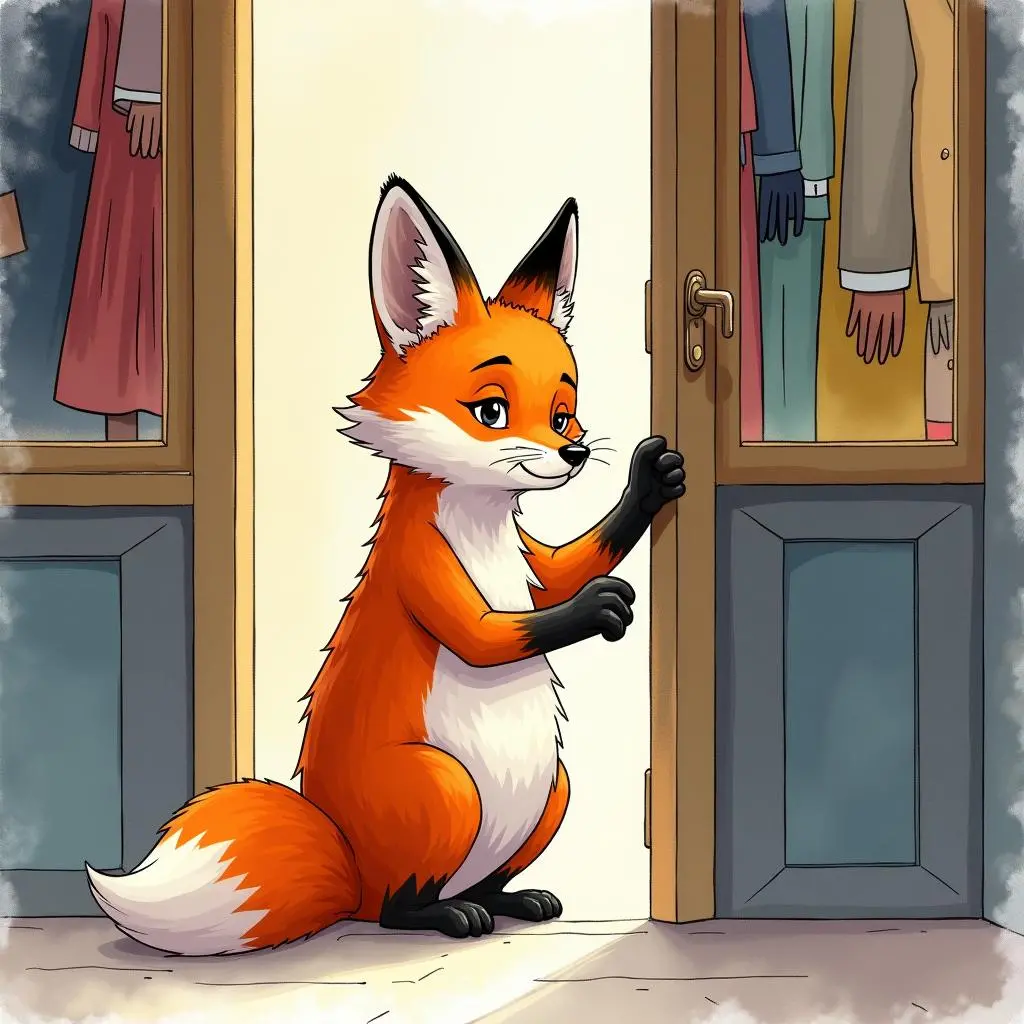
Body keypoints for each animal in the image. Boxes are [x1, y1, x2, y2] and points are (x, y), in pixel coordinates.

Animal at [86, 175, 686, 956]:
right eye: (492, 411)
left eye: (562, 413)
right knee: (399, 907)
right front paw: (601, 608)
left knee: (481, 879)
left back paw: (509, 899)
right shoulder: (423, 571)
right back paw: (445, 916)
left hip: (554, 789)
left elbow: (573, 560)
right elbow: (494, 632)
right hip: (446, 789)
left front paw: (650, 483)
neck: (483, 529)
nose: (575, 452)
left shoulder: (530, 559)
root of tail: (348, 873)